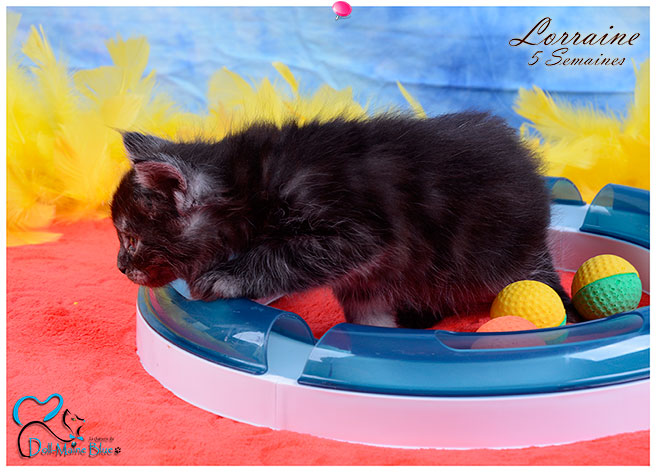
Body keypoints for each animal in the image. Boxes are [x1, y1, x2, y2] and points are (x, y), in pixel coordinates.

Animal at [111, 113, 580, 328]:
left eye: (130, 239)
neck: (249, 186)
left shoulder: (356, 233)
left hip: (505, 259)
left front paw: (225, 277)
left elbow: (281, 255)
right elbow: (369, 317)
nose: (120, 266)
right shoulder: (365, 279)